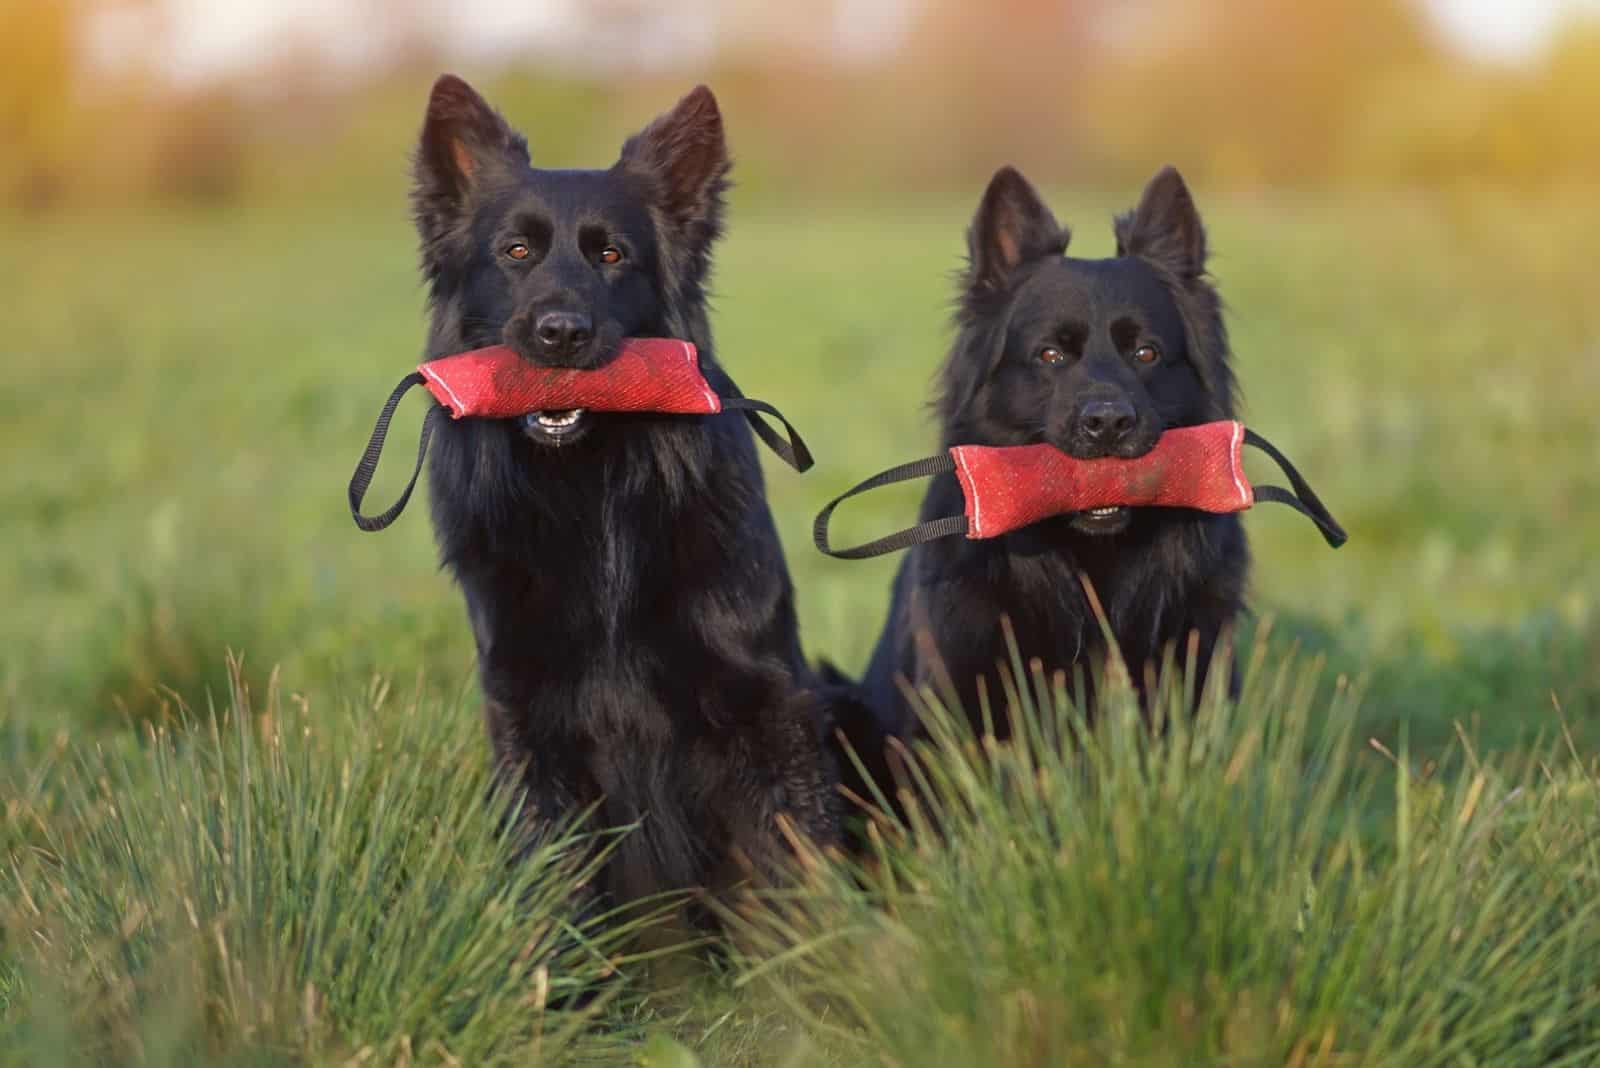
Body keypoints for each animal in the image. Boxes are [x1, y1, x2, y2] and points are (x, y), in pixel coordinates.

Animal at [409, 75, 838, 908]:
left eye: (611, 255)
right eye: (516, 252)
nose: (560, 334)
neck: (597, 494)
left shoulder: (767, 703)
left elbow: (796, 868)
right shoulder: (527, 719)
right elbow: (555, 886)